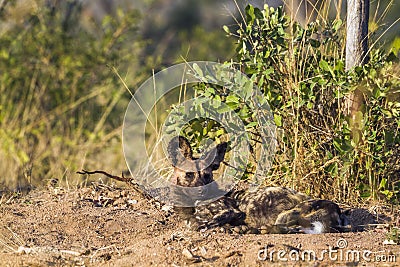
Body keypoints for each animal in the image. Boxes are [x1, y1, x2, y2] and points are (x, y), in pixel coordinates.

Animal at [167, 137, 348, 233]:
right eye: (189, 175)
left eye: (207, 176)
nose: (201, 193)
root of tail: (336, 209)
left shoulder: (232, 211)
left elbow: (205, 222)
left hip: (286, 216)